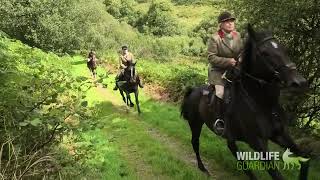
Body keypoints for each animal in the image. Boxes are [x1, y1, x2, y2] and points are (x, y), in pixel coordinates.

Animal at [182, 25, 310, 180]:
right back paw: (203, 168)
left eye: (283, 48)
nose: (299, 82)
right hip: (195, 123)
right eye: (265, 53)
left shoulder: (281, 135)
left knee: (234, 150)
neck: (264, 104)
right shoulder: (258, 143)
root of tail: (193, 90)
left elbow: (304, 159)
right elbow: (276, 174)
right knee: (195, 143)